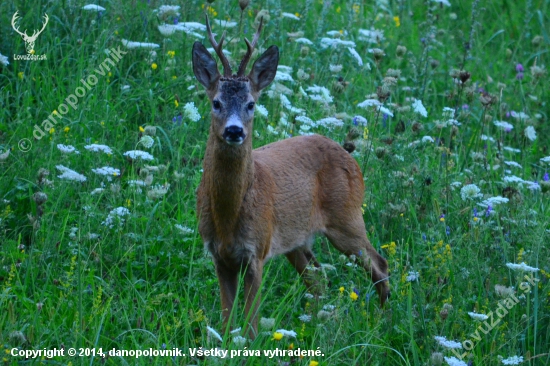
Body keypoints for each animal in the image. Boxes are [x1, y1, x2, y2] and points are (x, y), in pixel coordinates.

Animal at [192, 16, 390, 338]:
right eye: (216, 103)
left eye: (251, 104)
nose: (234, 131)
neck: (228, 216)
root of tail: (350, 157)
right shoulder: (218, 255)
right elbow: (226, 321)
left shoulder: (257, 251)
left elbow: (251, 324)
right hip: (298, 240)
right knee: (318, 277)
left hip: (347, 218)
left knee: (379, 263)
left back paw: (381, 323)